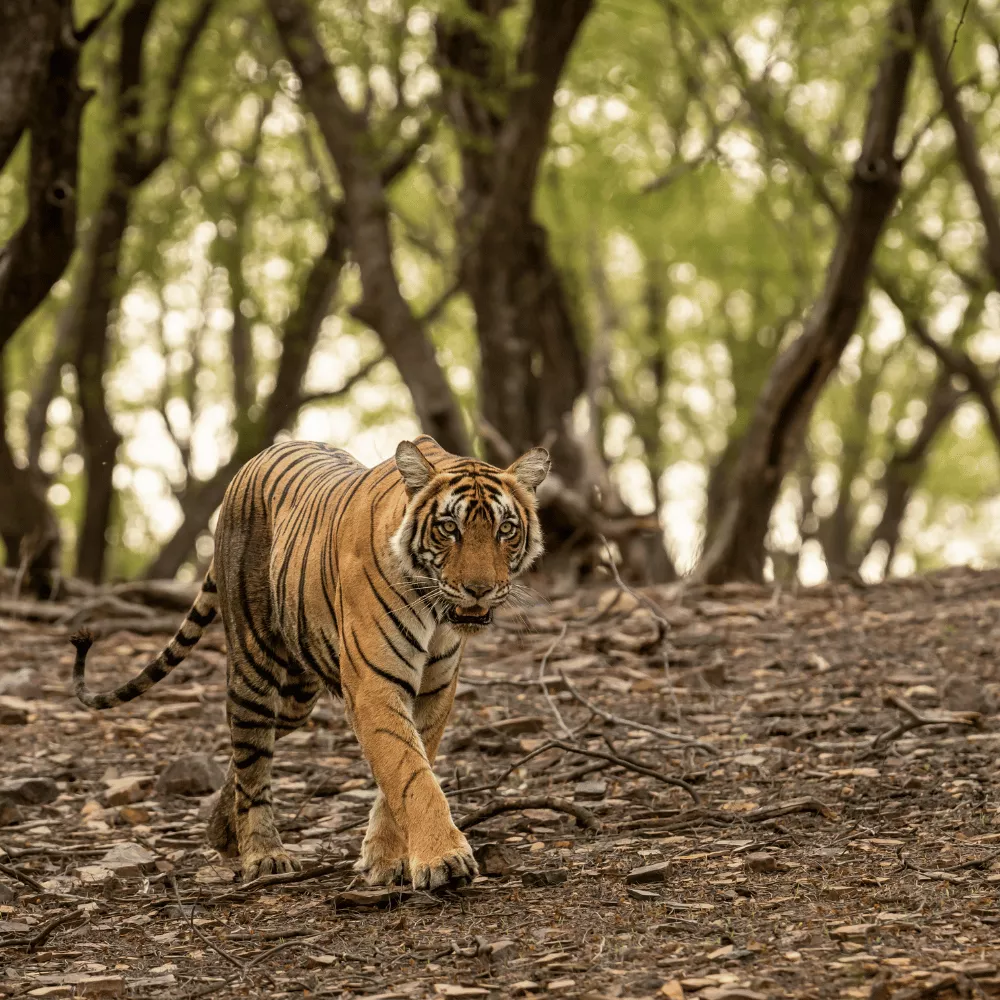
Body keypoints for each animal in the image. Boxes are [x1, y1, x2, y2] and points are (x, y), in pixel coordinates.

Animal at [71, 434, 550, 890]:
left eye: (506, 529)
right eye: (449, 528)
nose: (479, 590)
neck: (436, 611)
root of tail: (257, 458)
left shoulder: (433, 691)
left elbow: (404, 773)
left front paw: (385, 860)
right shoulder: (374, 686)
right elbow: (411, 775)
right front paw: (443, 860)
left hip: (298, 697)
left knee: (247, 756)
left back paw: (222, 832)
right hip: (254, 667)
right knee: (251, 761)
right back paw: (262, 855)